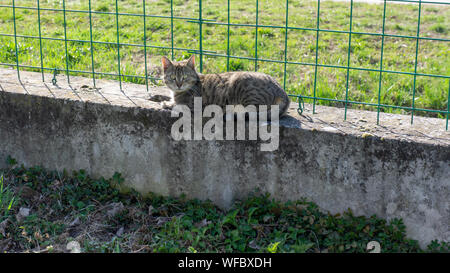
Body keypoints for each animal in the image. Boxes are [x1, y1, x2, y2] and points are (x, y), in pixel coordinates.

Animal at [160, 55, 290, 116]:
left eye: (185, 77)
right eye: (173, 77)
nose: (179, 84)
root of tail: (282, 92)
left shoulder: (194, 106)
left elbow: (178, 105)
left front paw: (167, 103)